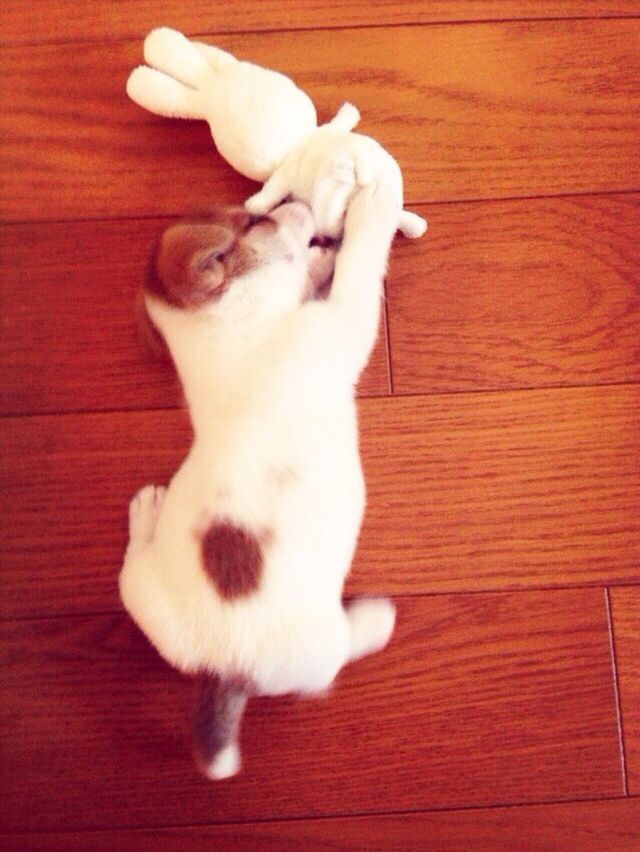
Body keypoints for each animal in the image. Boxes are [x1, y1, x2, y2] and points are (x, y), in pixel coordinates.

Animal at [120, 185, 400, 780]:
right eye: (254, 221)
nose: (293, 196)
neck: (232, 340)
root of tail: (228, 669)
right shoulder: (339, 326)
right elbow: (360, 268)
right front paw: (374, 207)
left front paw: (320, 261)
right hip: (319, 649)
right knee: (340, 653)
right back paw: (373, 621)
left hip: (144, 598)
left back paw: (147, 516)